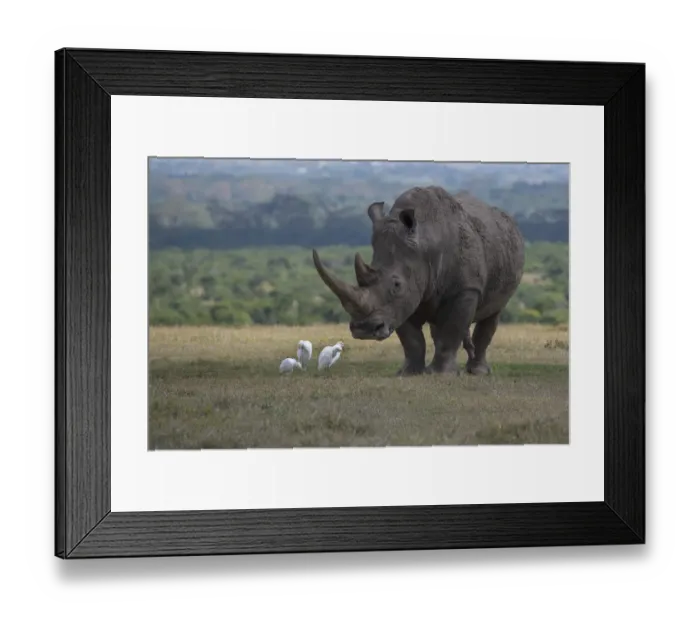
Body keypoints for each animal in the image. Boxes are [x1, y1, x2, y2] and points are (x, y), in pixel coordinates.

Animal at [312, 186, 525, 376]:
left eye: (396, 285)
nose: (364, 330)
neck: (425, 245)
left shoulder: (466, 289)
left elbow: (452, 329)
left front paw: (441, 375)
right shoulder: (404, 299)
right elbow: (412, 339)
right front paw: (409, 373)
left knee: (492, 314)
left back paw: (478, 372)